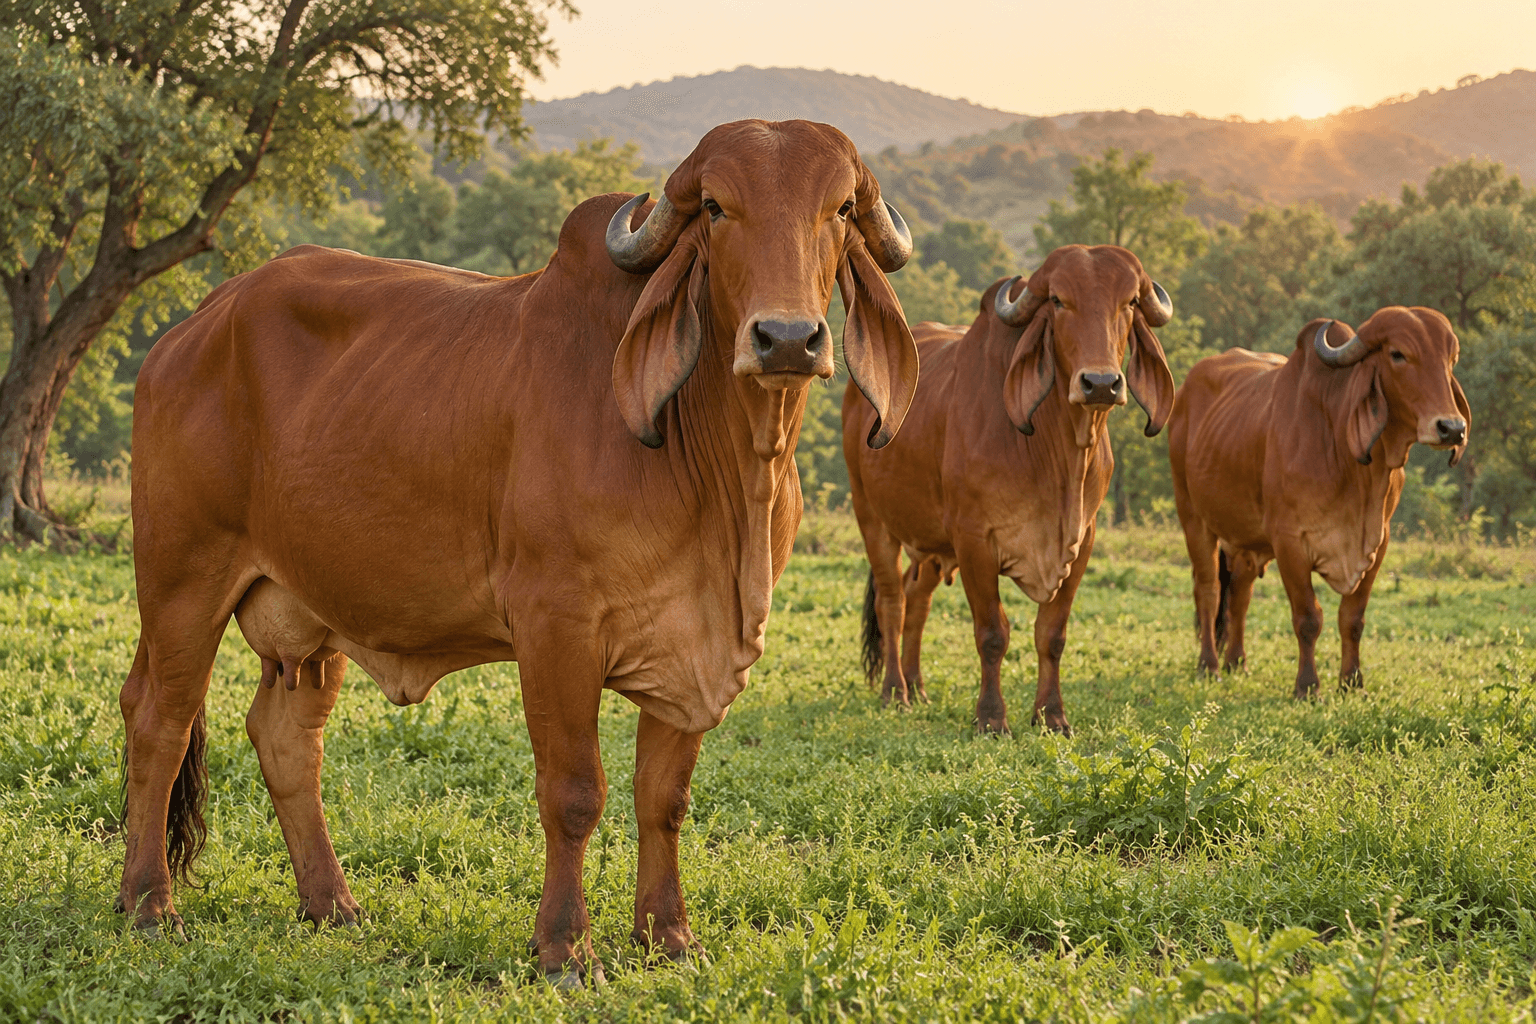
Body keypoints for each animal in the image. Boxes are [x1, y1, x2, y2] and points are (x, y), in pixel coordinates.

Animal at [117, 119, 920, 986]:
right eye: (714, 207)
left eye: (841, 208)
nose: (786, 339)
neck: (725, 473)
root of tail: (195, 324)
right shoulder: (555, 628)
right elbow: (573, 792)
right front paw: (565, 947)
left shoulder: (693, 647)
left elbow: (663, 797)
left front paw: (669, 936)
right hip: (182, 577)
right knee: (160, 720)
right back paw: (150, 907)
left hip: (311, 605)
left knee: (286, 737)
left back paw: (331, 902)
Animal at [843, 245, 1177, 735]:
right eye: (1058, 301)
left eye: (1130, 302)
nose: (1100, 383)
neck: (1057, 455)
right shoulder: (974, 541)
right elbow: (992, 634)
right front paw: (990, 717)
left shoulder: (1082, 541)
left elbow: (1051, 635)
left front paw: (1052, 716)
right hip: (872, 517)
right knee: (892, 602)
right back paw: (896, 691)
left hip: (931, 543)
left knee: (916, 599)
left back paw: (918, 686)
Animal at [1167, 307, 1470, 696]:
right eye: (1398, 354)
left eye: (1451, 359)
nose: (1451, 428)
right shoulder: (1290, 543)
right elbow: (1309, 618)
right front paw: (1307, 687)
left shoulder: (1379, 543)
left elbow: (1352, 618)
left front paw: (1352, 683)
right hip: (1192, 516)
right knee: (1209, 590)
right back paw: (1210, 665)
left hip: (1245, 538)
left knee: (1240, 593)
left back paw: (1237, 661)